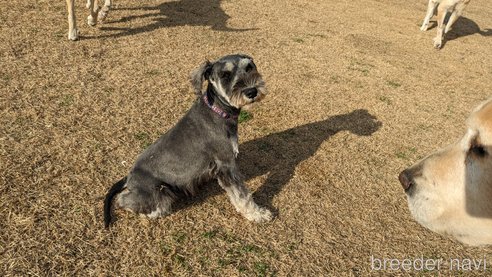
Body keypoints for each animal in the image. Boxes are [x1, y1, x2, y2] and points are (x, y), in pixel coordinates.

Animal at [104, 53, 272, 226]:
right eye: (225, 75)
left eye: (249, 67)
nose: (252, 91)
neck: (218, 111)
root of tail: (129, 177)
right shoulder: (226, 165)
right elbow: (242, 196)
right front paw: (258, 214)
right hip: (158, 191)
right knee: (126, 200)